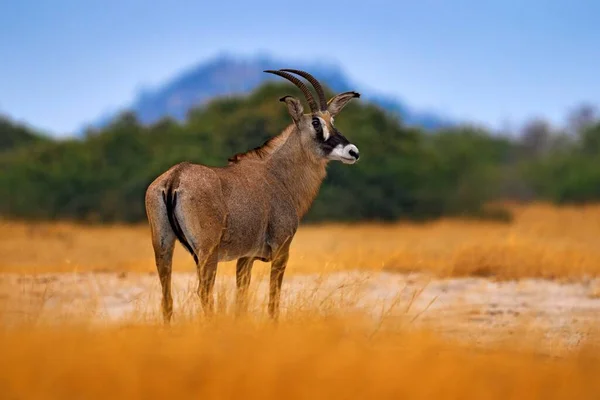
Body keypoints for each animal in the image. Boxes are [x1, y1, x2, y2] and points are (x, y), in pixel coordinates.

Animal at [145, 69, 360, 324]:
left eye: (332, 121)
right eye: (316, 123)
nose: (353, 151)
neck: (277, 175)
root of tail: (175, 177)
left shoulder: (245, 258)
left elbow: (242, 299)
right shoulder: (281, 250)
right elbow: (273, 298)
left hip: (163, 246)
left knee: (166, 297)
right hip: (207, 253)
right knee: (204, 292)